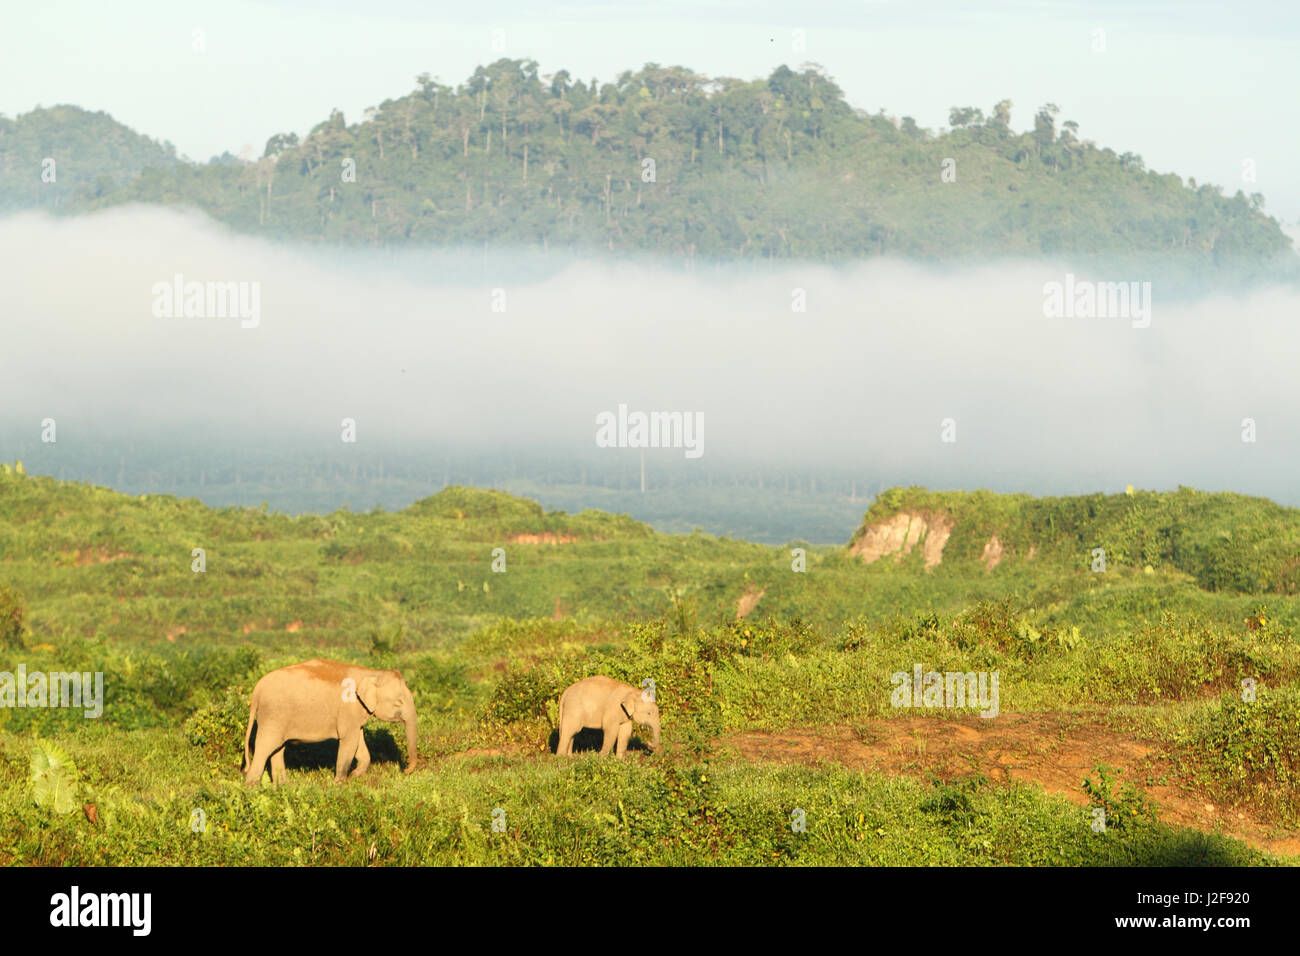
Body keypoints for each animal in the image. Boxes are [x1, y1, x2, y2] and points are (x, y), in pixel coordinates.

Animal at [243, 658, 416, 785]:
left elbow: (358, 741)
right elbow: (349, 742)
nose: (405, 770)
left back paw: (282, 787)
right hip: (273, 715)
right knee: (265, 748)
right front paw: (340, 783)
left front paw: (354, 775)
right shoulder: (348, 710)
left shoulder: (356, 714)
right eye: (398, 702)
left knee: (278, 749)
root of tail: (256, 690)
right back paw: (252, 790)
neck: (371, 673)